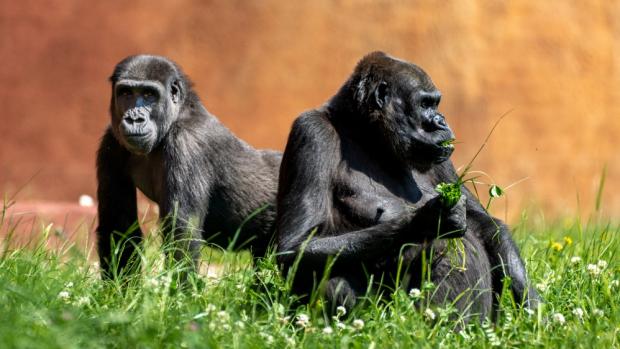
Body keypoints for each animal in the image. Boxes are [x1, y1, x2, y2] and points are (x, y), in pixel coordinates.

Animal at [97, 54, 280, 278]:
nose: (134, 119)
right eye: (126, 93)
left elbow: (182, 234)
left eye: (149, 94)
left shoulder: (186, 143)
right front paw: (118, 286)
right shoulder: (111, 142)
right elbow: (117, 225)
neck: (178, 114)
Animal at [274, 50, 536, 320]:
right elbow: (297, 246)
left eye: (436, 103)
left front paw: (530, 305)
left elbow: (484, 225)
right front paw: (428, 220)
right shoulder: (312, 133)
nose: (442, 121)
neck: (366, 135)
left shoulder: (442, 156)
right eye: (425, 104)